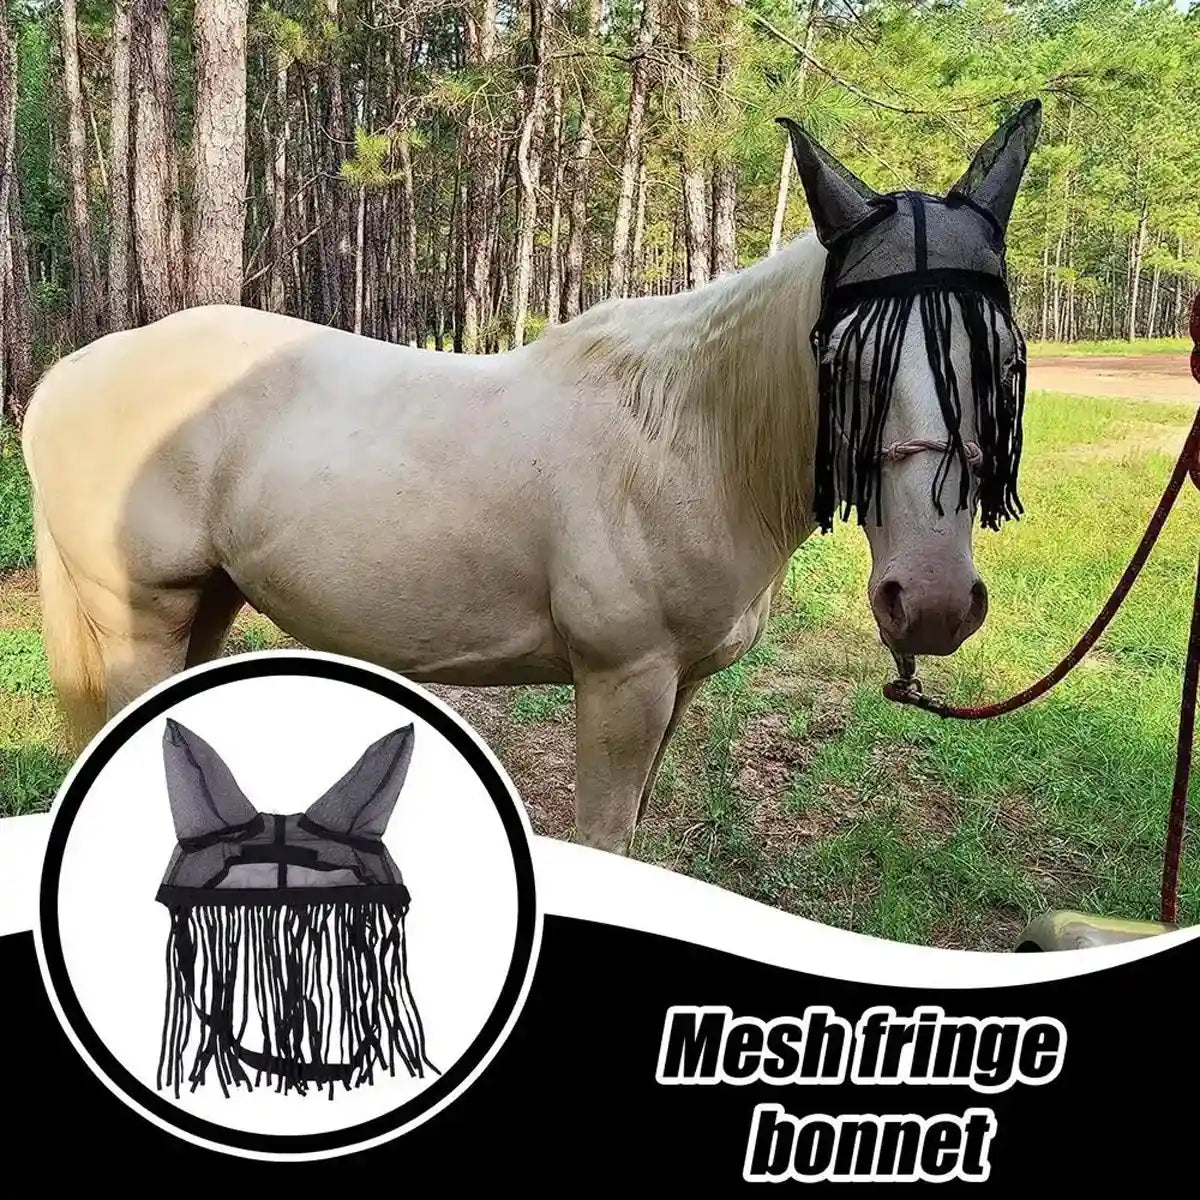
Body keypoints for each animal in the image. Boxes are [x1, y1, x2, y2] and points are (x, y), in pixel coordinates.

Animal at [21, 104, 1041, 855]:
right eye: (847, 363)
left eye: (1004, 362)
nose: (932, 601)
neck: (686, 441)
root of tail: (68, 375)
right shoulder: (624, 684)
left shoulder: (675, 690)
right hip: (141, 617)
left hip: (209, 602)